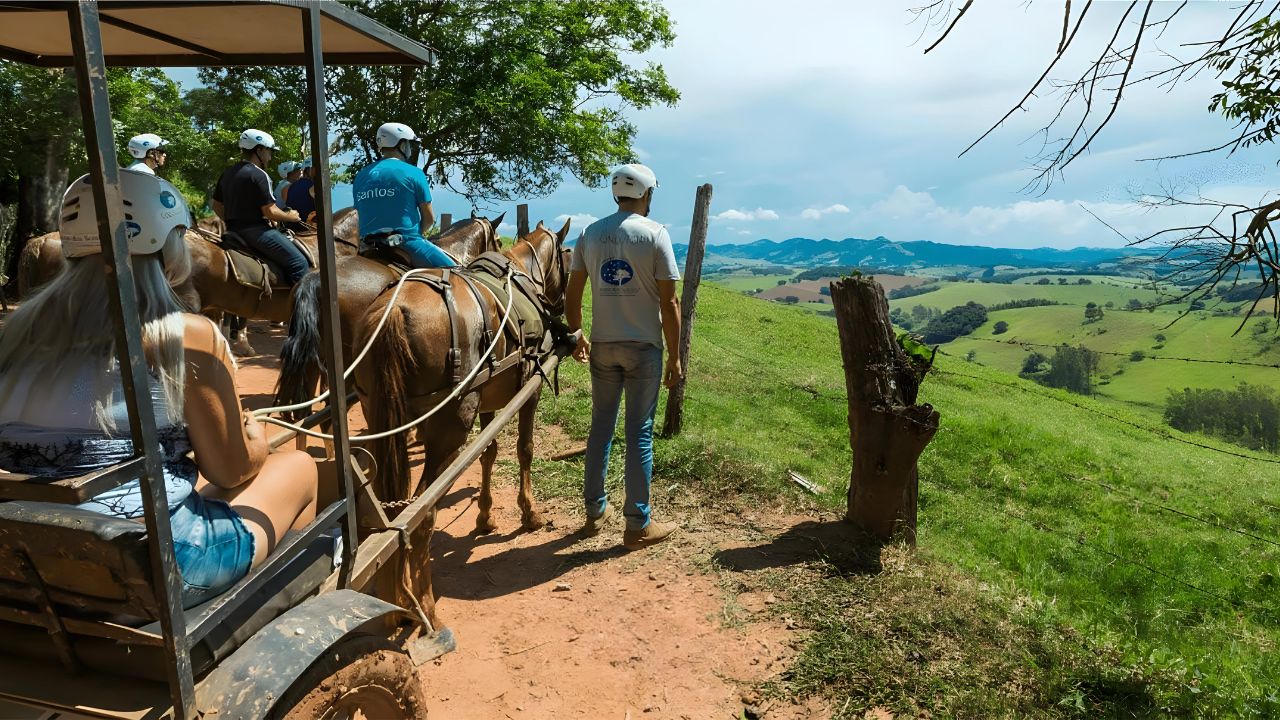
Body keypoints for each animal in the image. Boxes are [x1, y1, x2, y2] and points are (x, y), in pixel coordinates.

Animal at [353, 217, 568, 627]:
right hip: (448, 429)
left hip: (379, 420)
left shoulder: (491, 397)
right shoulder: (528, 389)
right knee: (421, 513)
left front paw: (484, 517)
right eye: (568, 254)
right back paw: (424, 607)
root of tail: (395, 311)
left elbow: (489, 452)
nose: (561, 305)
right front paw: (529, 512)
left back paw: (394, 601)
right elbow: (524, 449)